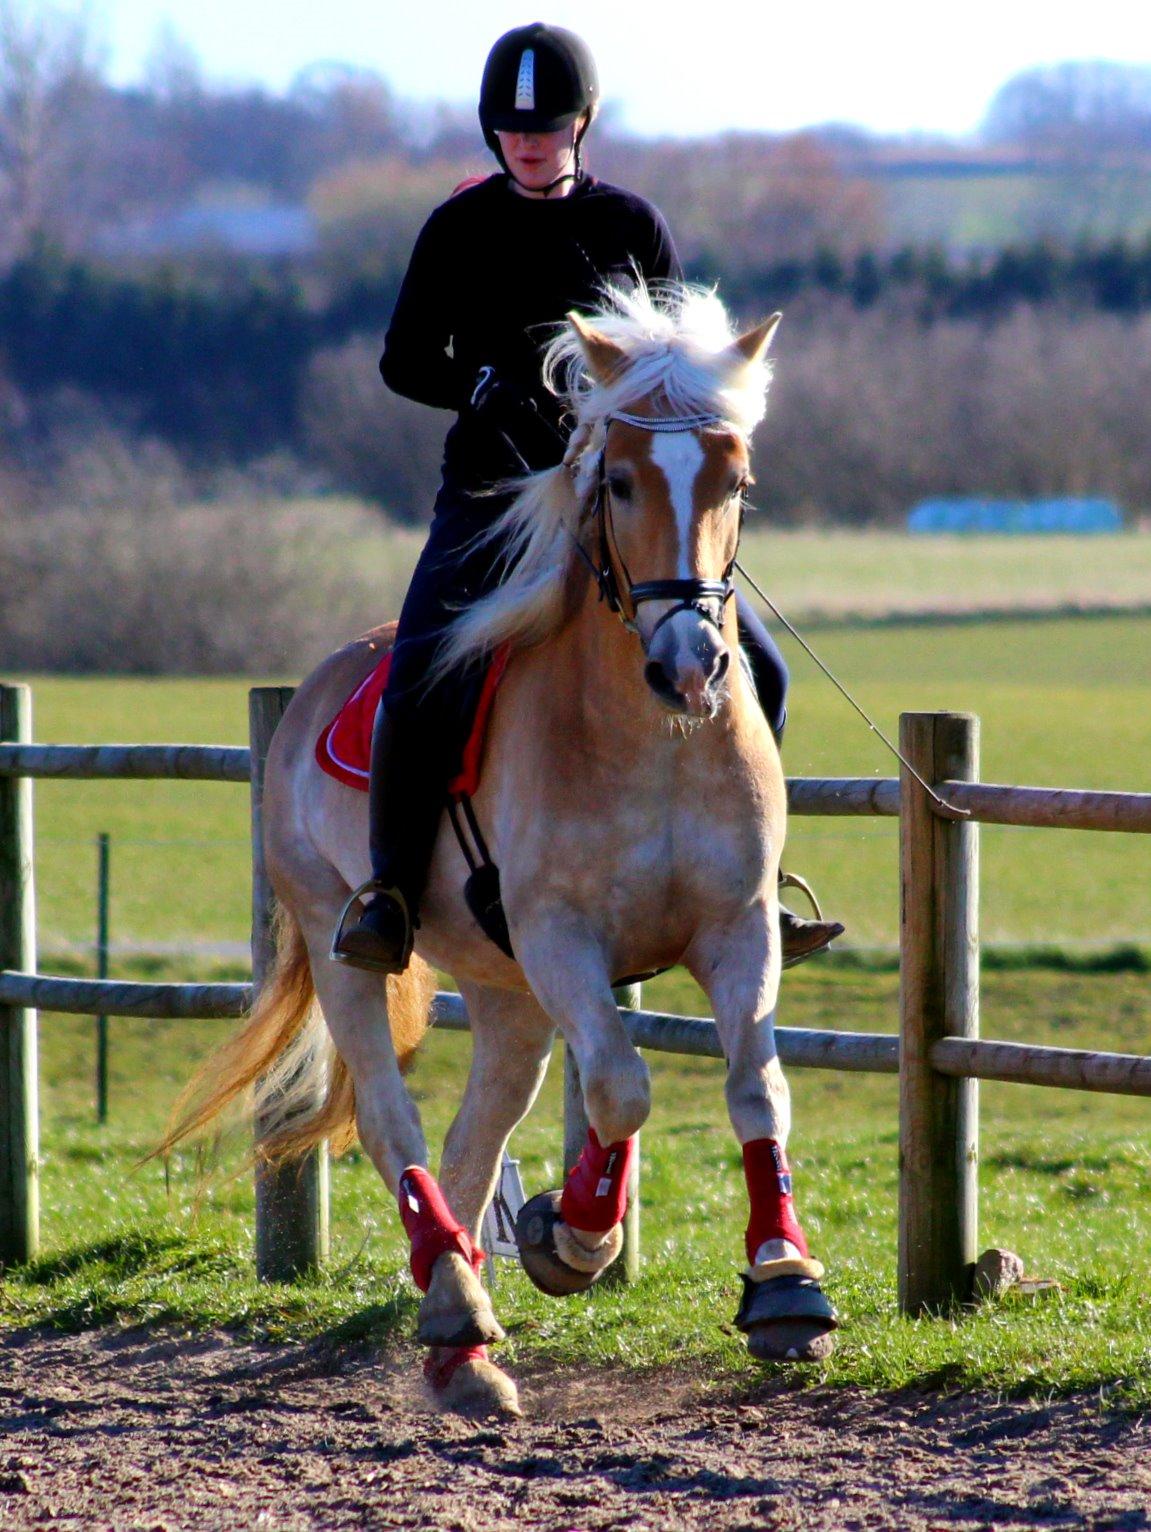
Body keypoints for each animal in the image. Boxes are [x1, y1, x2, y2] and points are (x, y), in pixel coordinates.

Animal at [162, 281, 839, 1415]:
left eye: (736, 480)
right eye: (617, 480)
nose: (689, 665)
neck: (648, 735)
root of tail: (306, 691)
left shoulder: (736, 927)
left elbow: (754, 1087)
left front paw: (784, 1280)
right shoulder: (561, 936)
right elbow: (620, 1085)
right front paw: (573, 1236)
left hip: (505, 990)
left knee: (473, 1136)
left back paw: (460, 1335)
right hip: (347, 940)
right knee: (392, 1123)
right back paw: (456, 1309)